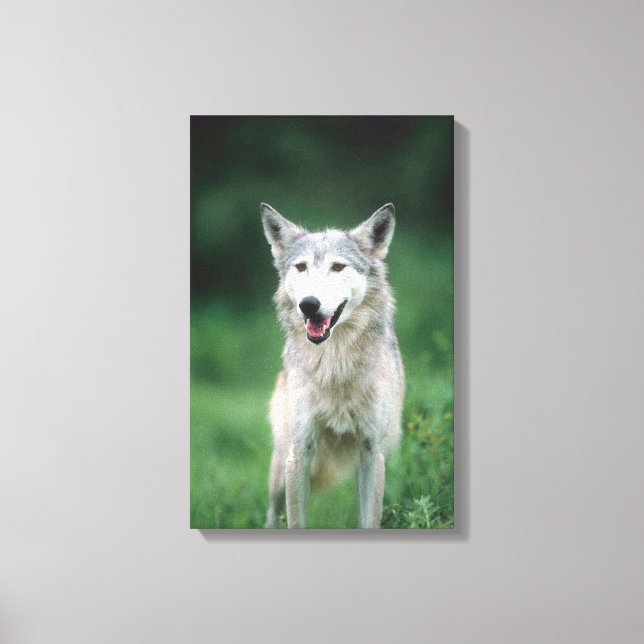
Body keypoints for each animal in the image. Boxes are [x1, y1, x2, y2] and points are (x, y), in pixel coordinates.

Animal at [261, 203, 405, 529]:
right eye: (301, 267)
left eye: (338, 267)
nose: (309, 304)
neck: (334, 363)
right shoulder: (299, 454)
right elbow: (296, 522)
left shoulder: (371, 454)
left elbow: (369, 521)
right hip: (279, 474)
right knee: (272, 515)